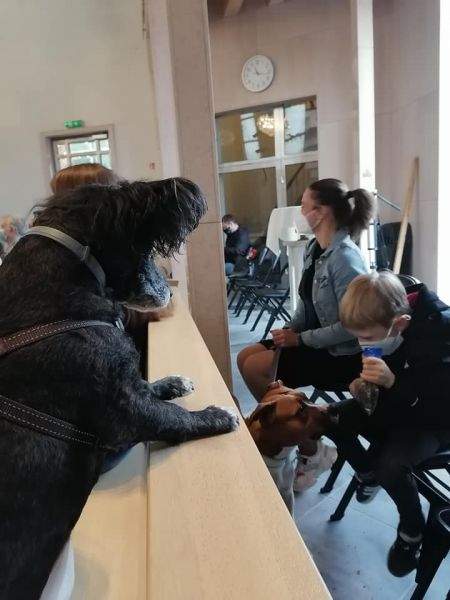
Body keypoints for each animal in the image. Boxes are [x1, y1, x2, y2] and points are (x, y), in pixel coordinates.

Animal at [0, 178, 239, 599]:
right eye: (147, 250)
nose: (171, 291)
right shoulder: (124, 412)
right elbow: (174, 417)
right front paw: (217, 415)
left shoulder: (123, 385)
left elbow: (146, 383)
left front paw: (173, 382)